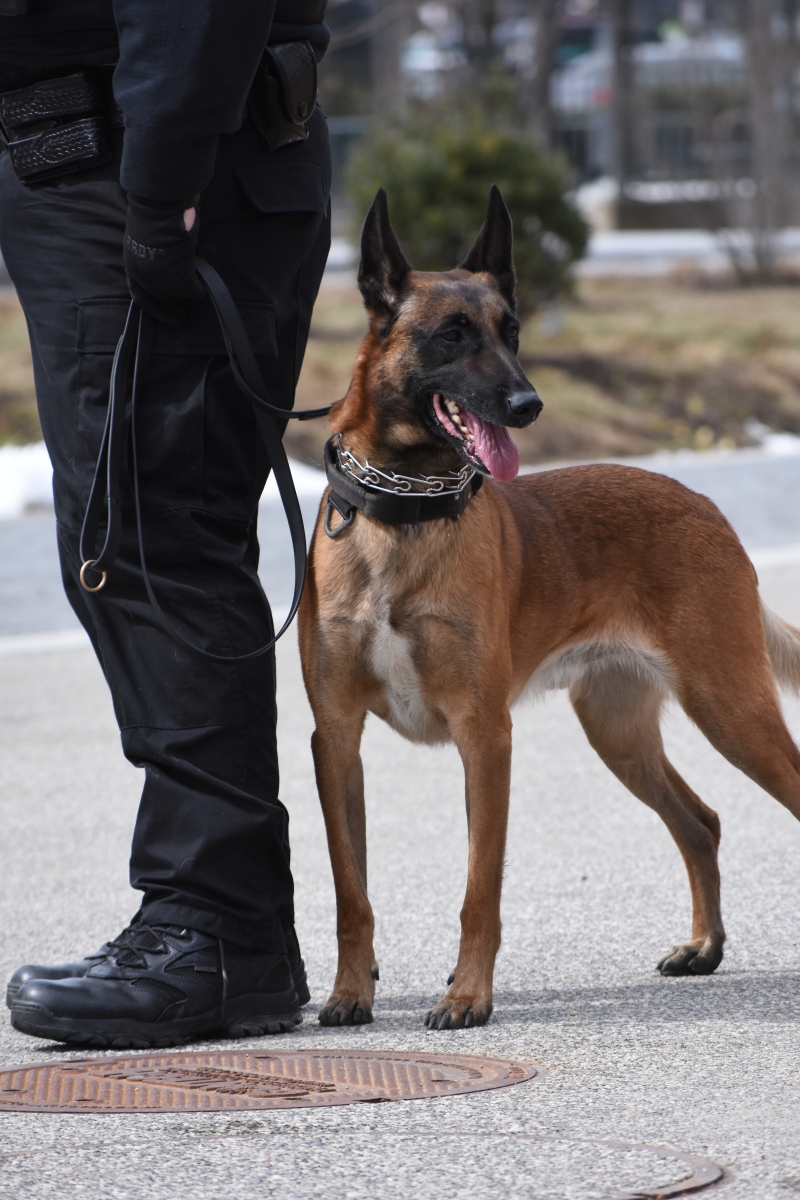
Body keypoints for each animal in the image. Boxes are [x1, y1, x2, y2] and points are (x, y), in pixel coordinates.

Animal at [296, 187, 800, 1032]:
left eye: (513, 332)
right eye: (452, 334)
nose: (528, 403)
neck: (405, 514)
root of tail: (702, 502)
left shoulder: (484, 736)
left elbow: (480, 889)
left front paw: (467, 996)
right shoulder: (335, 738)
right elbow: (350, 892)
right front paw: (349, 992)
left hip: (731, 707)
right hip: (619, 730)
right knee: (699, 821)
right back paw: (704, 947)